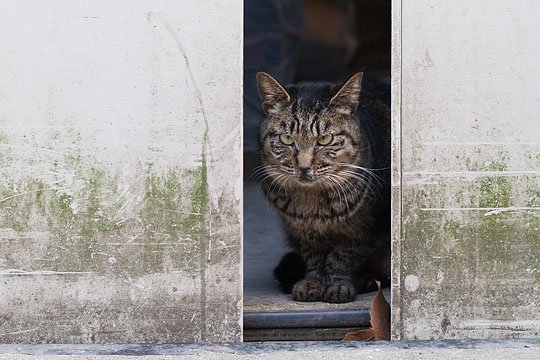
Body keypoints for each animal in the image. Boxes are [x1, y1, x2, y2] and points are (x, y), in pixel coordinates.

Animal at [255, 71, 390, 302]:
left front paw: (336, 285)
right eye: (287, 138)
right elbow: (314, 257)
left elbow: (343, 256)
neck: (312, 204)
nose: (303, 166)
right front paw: (313, 283)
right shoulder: (302, 232)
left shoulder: (365, 230)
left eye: (325, 139)